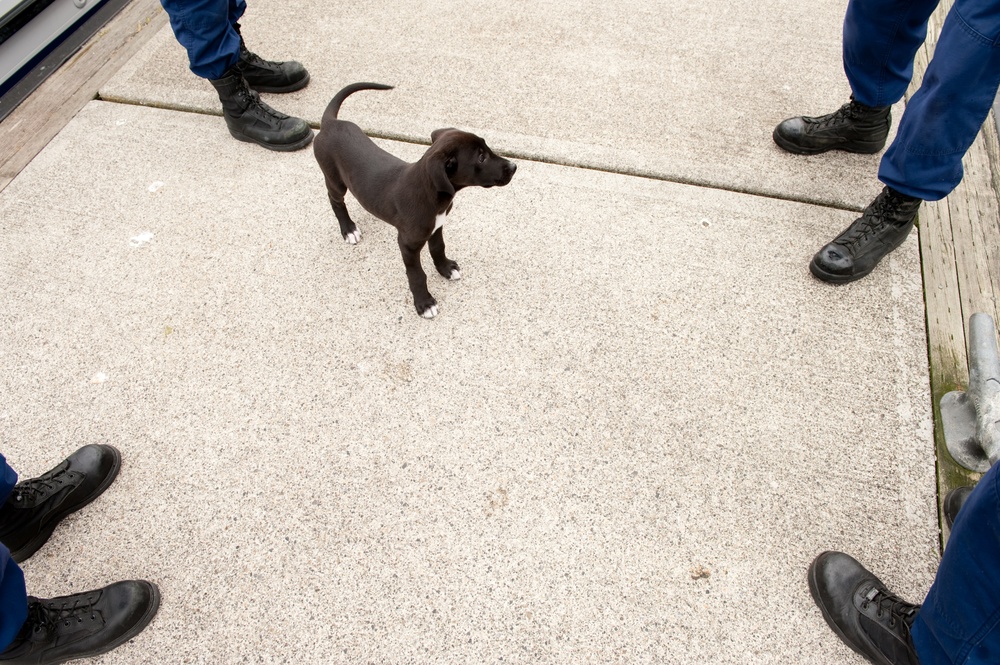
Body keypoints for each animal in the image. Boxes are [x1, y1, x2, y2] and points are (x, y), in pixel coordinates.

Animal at [312, 83, 516, 320]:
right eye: (481, 157)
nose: (514, 166)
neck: (433, 195)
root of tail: (329, 123)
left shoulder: (437, 227)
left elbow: (438, 248)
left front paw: (446, 268)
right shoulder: (407, 244)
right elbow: (417, 274)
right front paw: (424, 303)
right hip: (334, 180)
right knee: (335, 200)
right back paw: (348, 229)